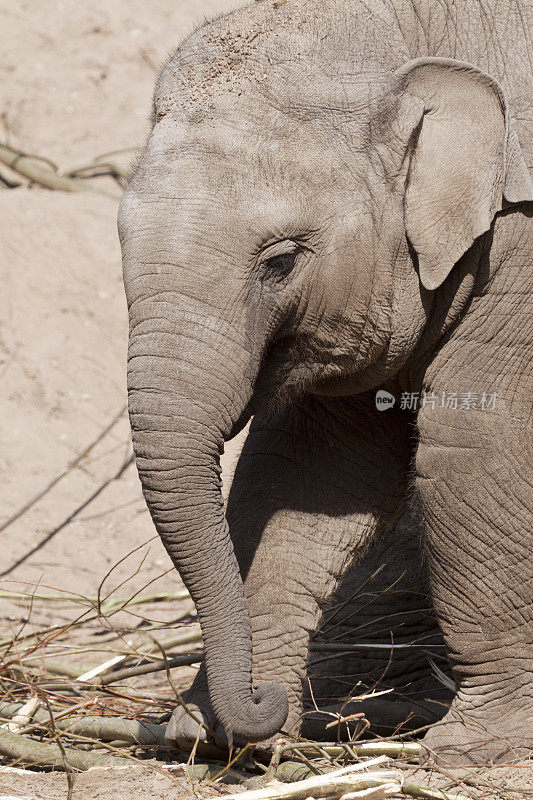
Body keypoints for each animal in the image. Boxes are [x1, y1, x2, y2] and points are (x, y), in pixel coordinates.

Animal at [118, 0, 528, 764]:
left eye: (280, 260)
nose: (264, 698)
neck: (421, 26)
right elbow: (313, 469)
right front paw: (218, 735)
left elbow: (475, 454)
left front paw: (474, 746)